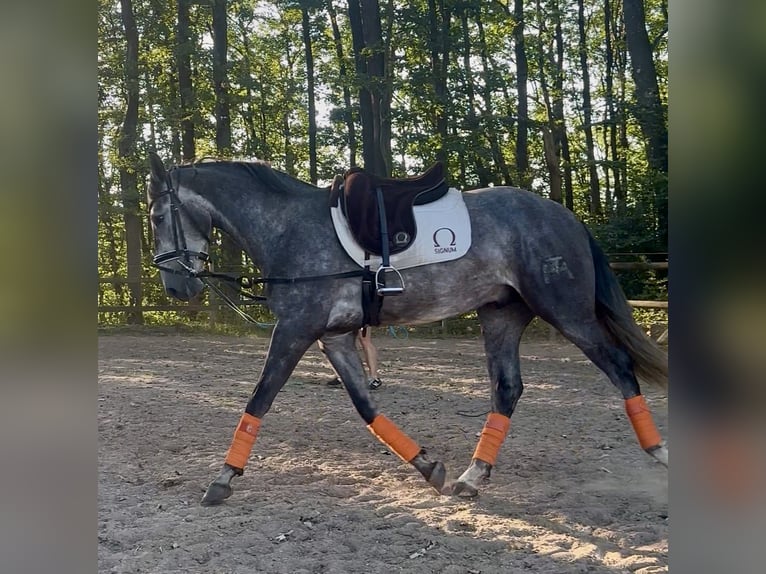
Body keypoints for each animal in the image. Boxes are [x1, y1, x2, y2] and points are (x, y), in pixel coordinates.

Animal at [145, 152, 668, 506]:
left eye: (156, 215)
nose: (175, 286)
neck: (287, 228)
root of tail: (563, 215)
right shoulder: (334, 336)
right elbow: (365, 405)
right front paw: (428, 466)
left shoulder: (296, 328)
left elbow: (259, 398)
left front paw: (223, 478)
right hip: (501, 315)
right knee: (508, 389)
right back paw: (472, 476)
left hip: (566, 311)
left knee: (619, 366)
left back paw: (660, 453)